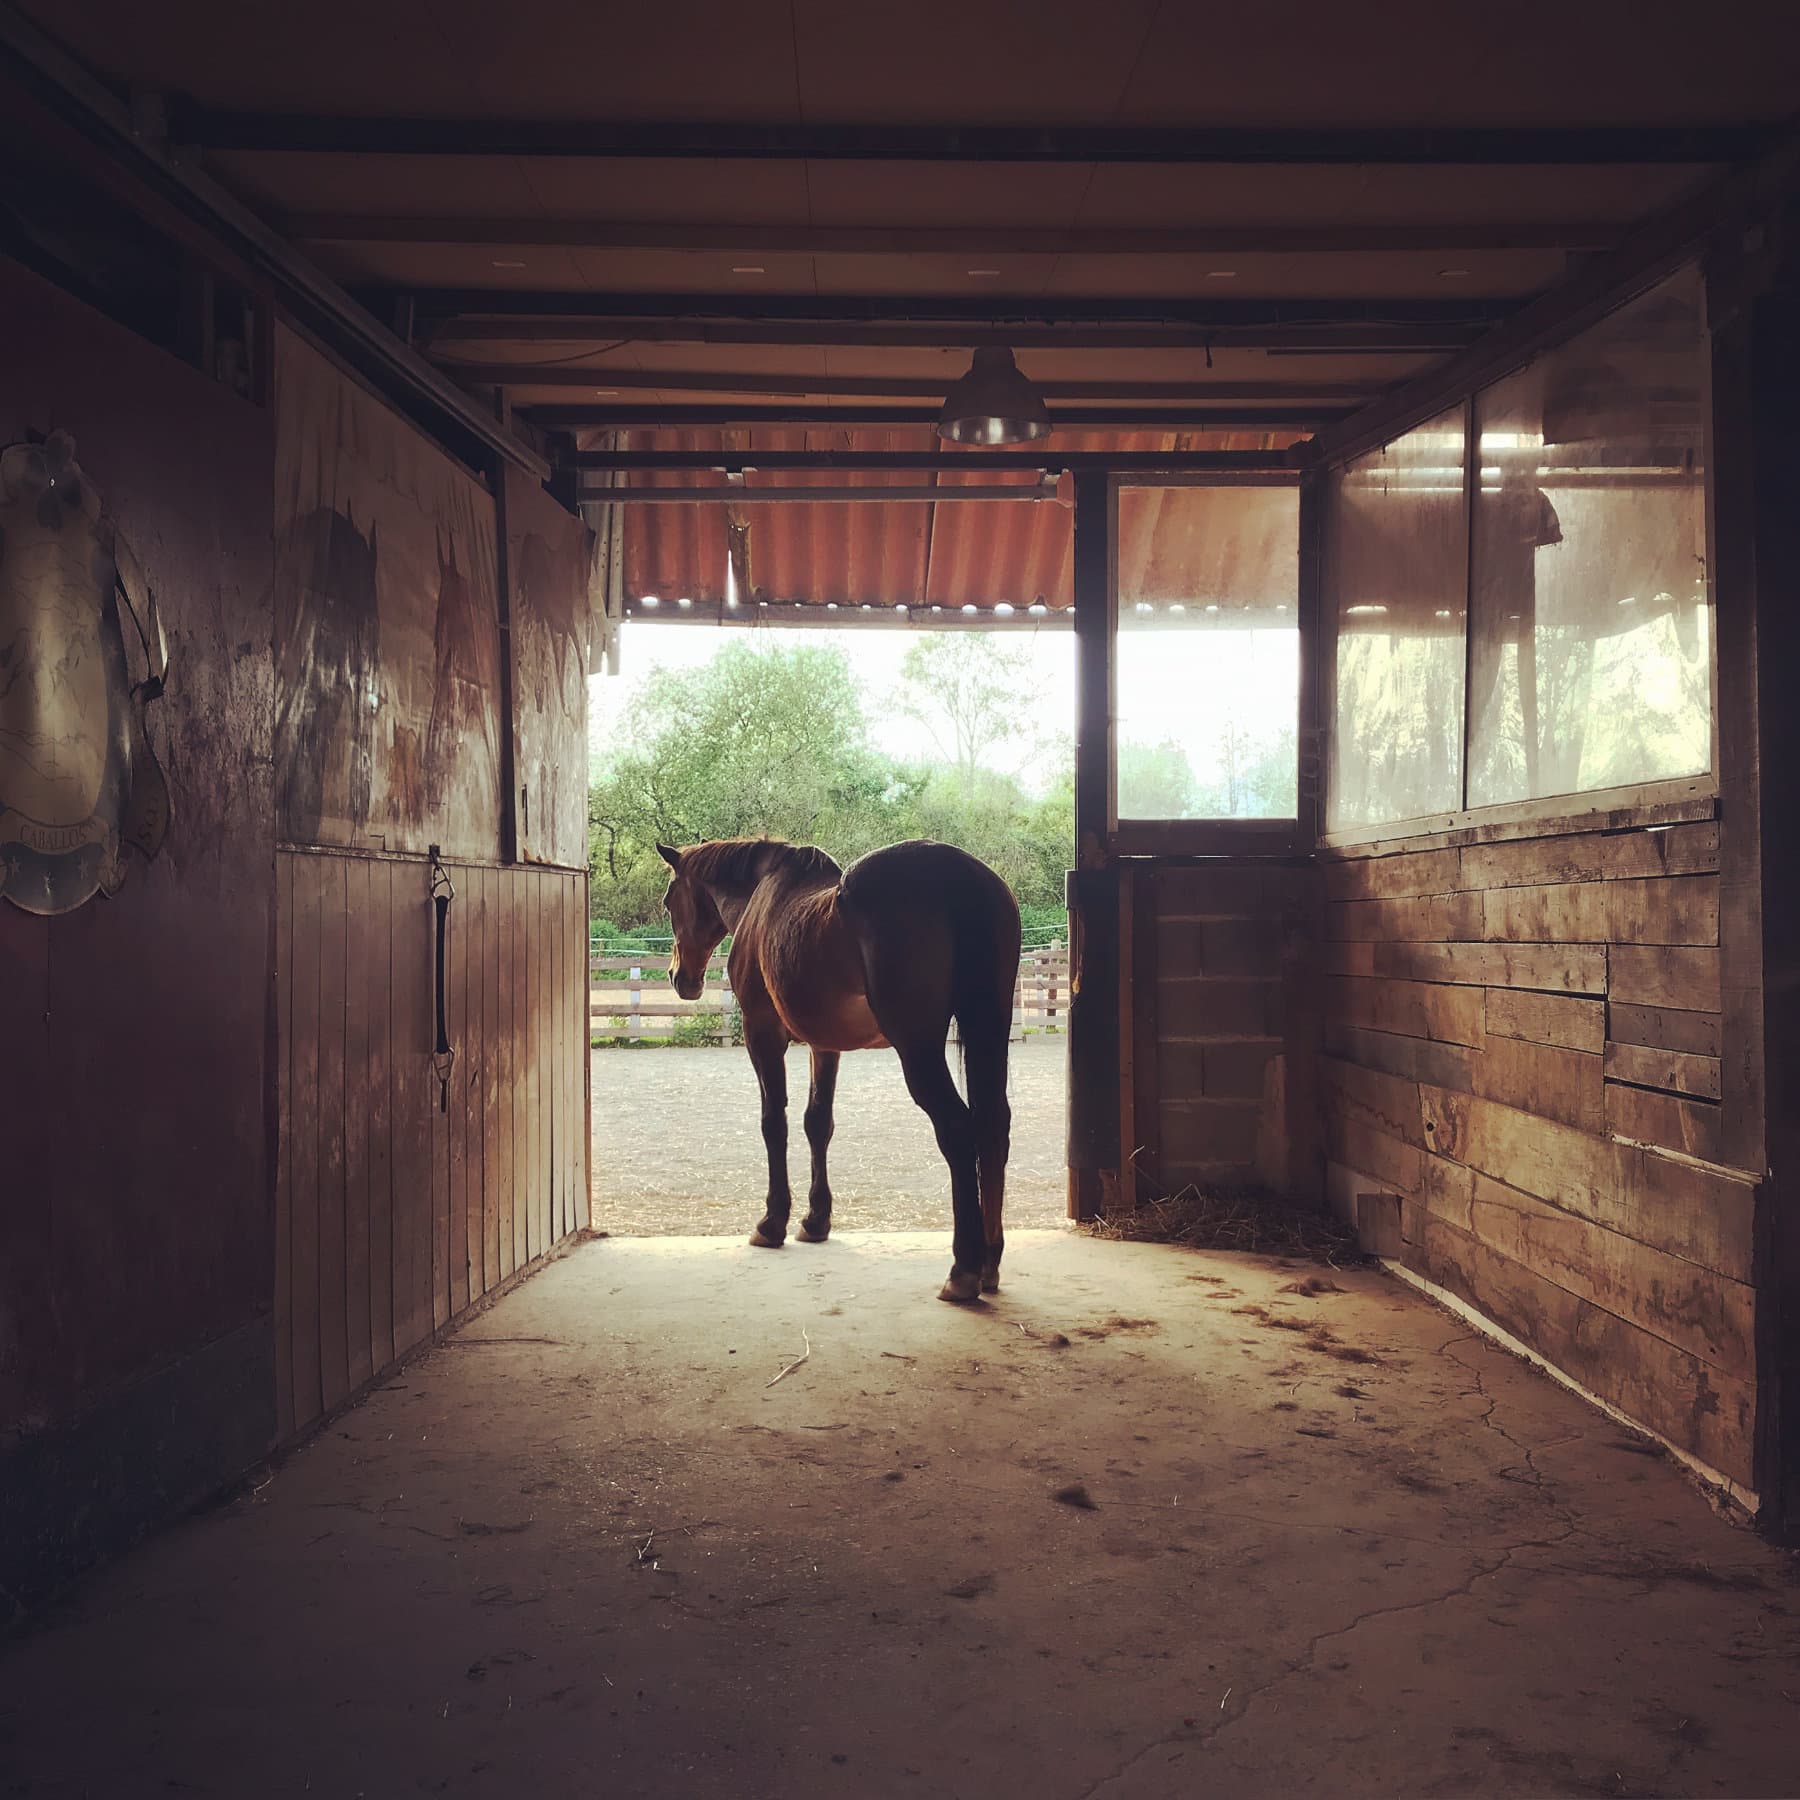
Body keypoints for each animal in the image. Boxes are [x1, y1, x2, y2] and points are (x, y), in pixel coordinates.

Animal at [656, 837, 1022, 1302]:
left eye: (669, 900)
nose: (679, 977)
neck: (762, 893)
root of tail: (962, 875)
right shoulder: (825, 1045)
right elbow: (818, 1123)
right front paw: (815, 1221)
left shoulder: (762, 1034)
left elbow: (774, 1123)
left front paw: (772, 1223)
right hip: (988, 1029)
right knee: (995, 1127)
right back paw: (990, 1263)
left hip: (918, 1049)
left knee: (958, 1129)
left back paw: (963, 1271)